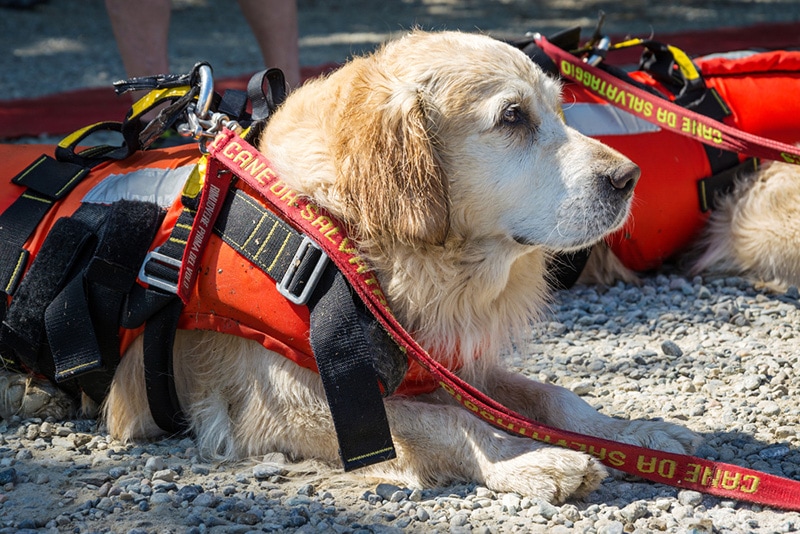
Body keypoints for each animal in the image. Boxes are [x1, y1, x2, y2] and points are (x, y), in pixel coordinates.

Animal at [1, 31, 700, 504]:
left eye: (559, 109)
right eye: (512, 117)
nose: (629, 178)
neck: (345, 233)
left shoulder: (440, 365)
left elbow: (554, 396)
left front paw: (634, 432)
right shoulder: (281, 401)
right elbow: (452, 421)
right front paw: (529, 461)